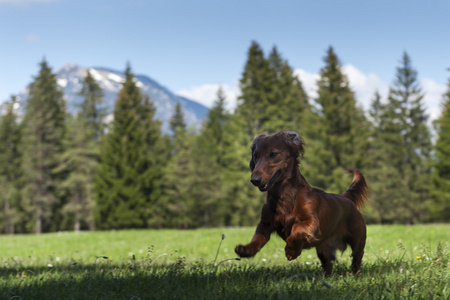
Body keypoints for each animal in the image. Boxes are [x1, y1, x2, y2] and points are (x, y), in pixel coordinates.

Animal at [234, 130, 368, 276]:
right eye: (255, 155)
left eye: (273, 154)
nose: (255, 180)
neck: (284, 196)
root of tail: (346, 197)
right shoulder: (265, 223)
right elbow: (258, 238)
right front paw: (246, 249)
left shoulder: (312, 221)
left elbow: (297, 229)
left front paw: (292, 251)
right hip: (323, 248)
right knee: (328, 263)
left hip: (357, 239)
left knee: (357, 257)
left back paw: (356, 274)